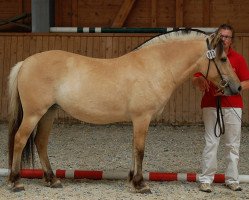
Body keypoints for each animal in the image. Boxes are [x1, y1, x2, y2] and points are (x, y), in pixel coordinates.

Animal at [7, 29, 241, 192]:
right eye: (223, 59)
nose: (237, 87)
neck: (155, 67)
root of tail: (25, 62)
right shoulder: (142, 118)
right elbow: (140, 149)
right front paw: (140, 184)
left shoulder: (137, 120)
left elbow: (133, 148)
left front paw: (132, 179)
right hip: (34, 114)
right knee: (19, 140)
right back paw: (16, 182)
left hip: (49, 113)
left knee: (40, 142)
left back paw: (52, 179)